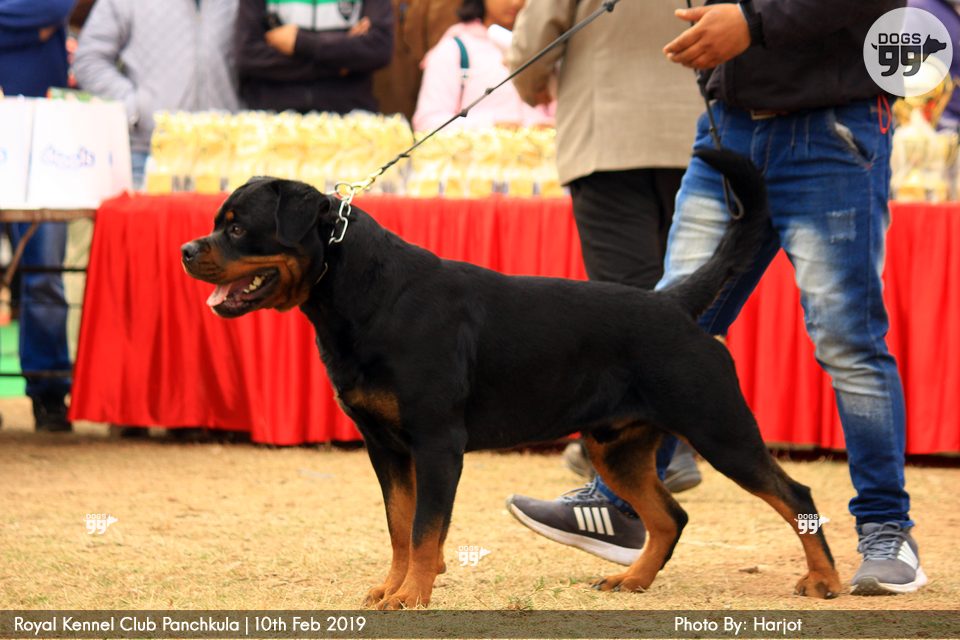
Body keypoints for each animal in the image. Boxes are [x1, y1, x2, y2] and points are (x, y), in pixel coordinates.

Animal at [181, 148, 841, 609]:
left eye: (237, 228)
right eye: (217, 223)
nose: (188, 249)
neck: (365, 295)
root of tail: (673, 303)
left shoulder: (437, 442)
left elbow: (424, 529)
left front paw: (412, 596)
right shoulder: (384, 446)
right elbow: (398, 526)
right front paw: (392, 588)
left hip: (719, 426)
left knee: (795, 495)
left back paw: (825, 579)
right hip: (616, 447)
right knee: (670, 518)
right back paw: (632, 579)